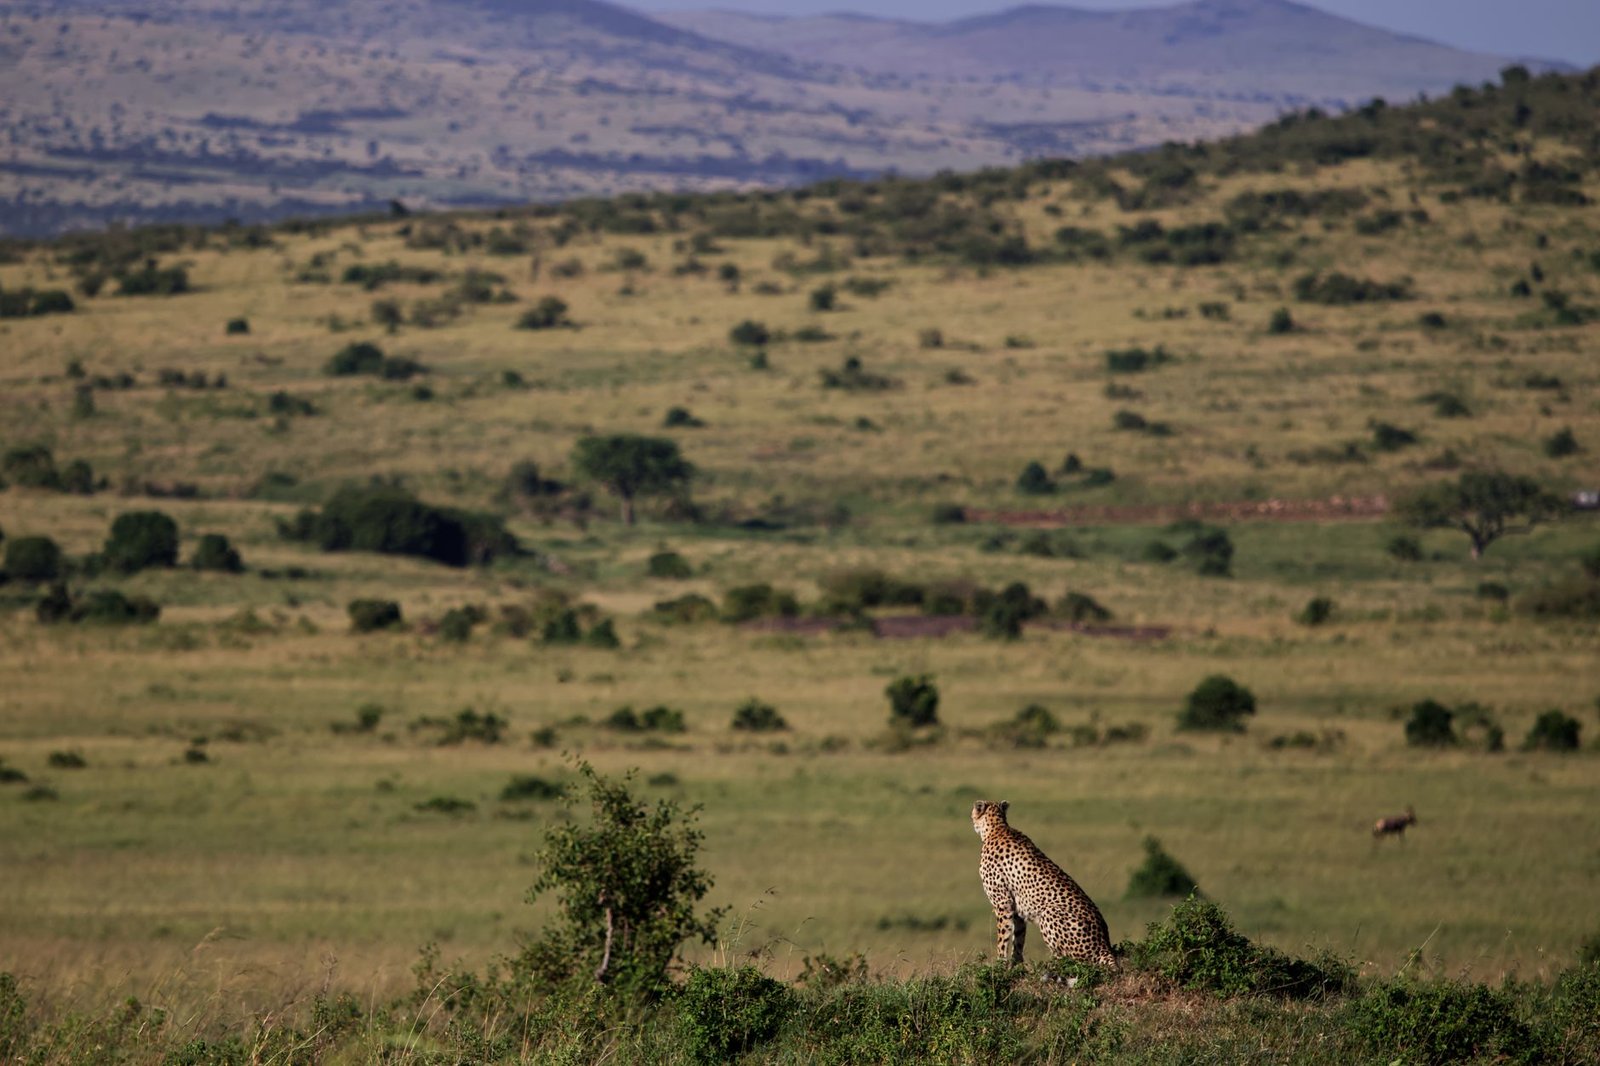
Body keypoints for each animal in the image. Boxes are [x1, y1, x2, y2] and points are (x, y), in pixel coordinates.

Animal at [971, 799, 1117, 968]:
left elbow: (1003, 938)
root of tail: (1104, 944)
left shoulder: (1003, 903)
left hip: (1049, 913)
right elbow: (1018, 939)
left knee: (1073, 961)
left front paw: (1000, 965)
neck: (996, 827)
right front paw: (1017, 965)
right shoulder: (1017, 908)